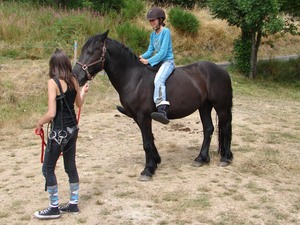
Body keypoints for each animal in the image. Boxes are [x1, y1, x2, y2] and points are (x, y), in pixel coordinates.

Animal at [74, 30, 233, 181]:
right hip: (204, 107)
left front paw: (148, 170)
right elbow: (150, 138)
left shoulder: (143, 116)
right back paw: (201, 158)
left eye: (92, 51)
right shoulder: (138, 117)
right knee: (208, 129)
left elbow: (147, 143)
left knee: (225, 127)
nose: (76, 76)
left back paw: (225, 158)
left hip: (221, 106)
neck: (134, 78)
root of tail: (222, 71)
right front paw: (155, 161)